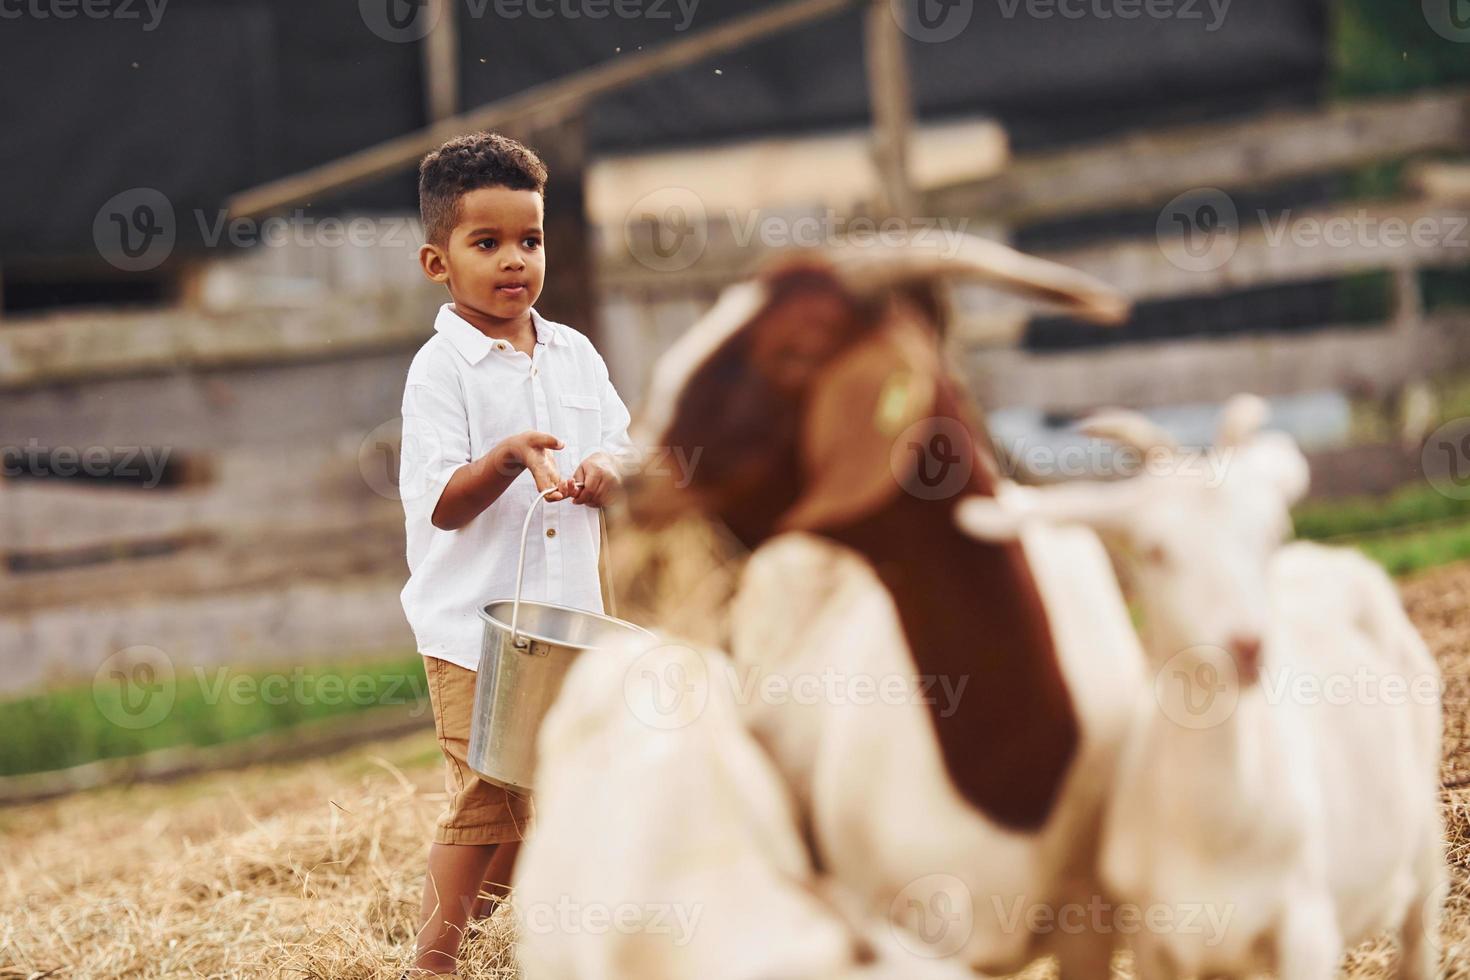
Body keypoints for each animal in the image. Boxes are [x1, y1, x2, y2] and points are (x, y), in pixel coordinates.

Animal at [952, 393, 1446, 975]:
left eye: (1272, 533)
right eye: (1154, 550)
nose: (1249, 645)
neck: (1218, 828)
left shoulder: (1305, 932)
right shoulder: (1154, 939)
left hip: (1424, 836)